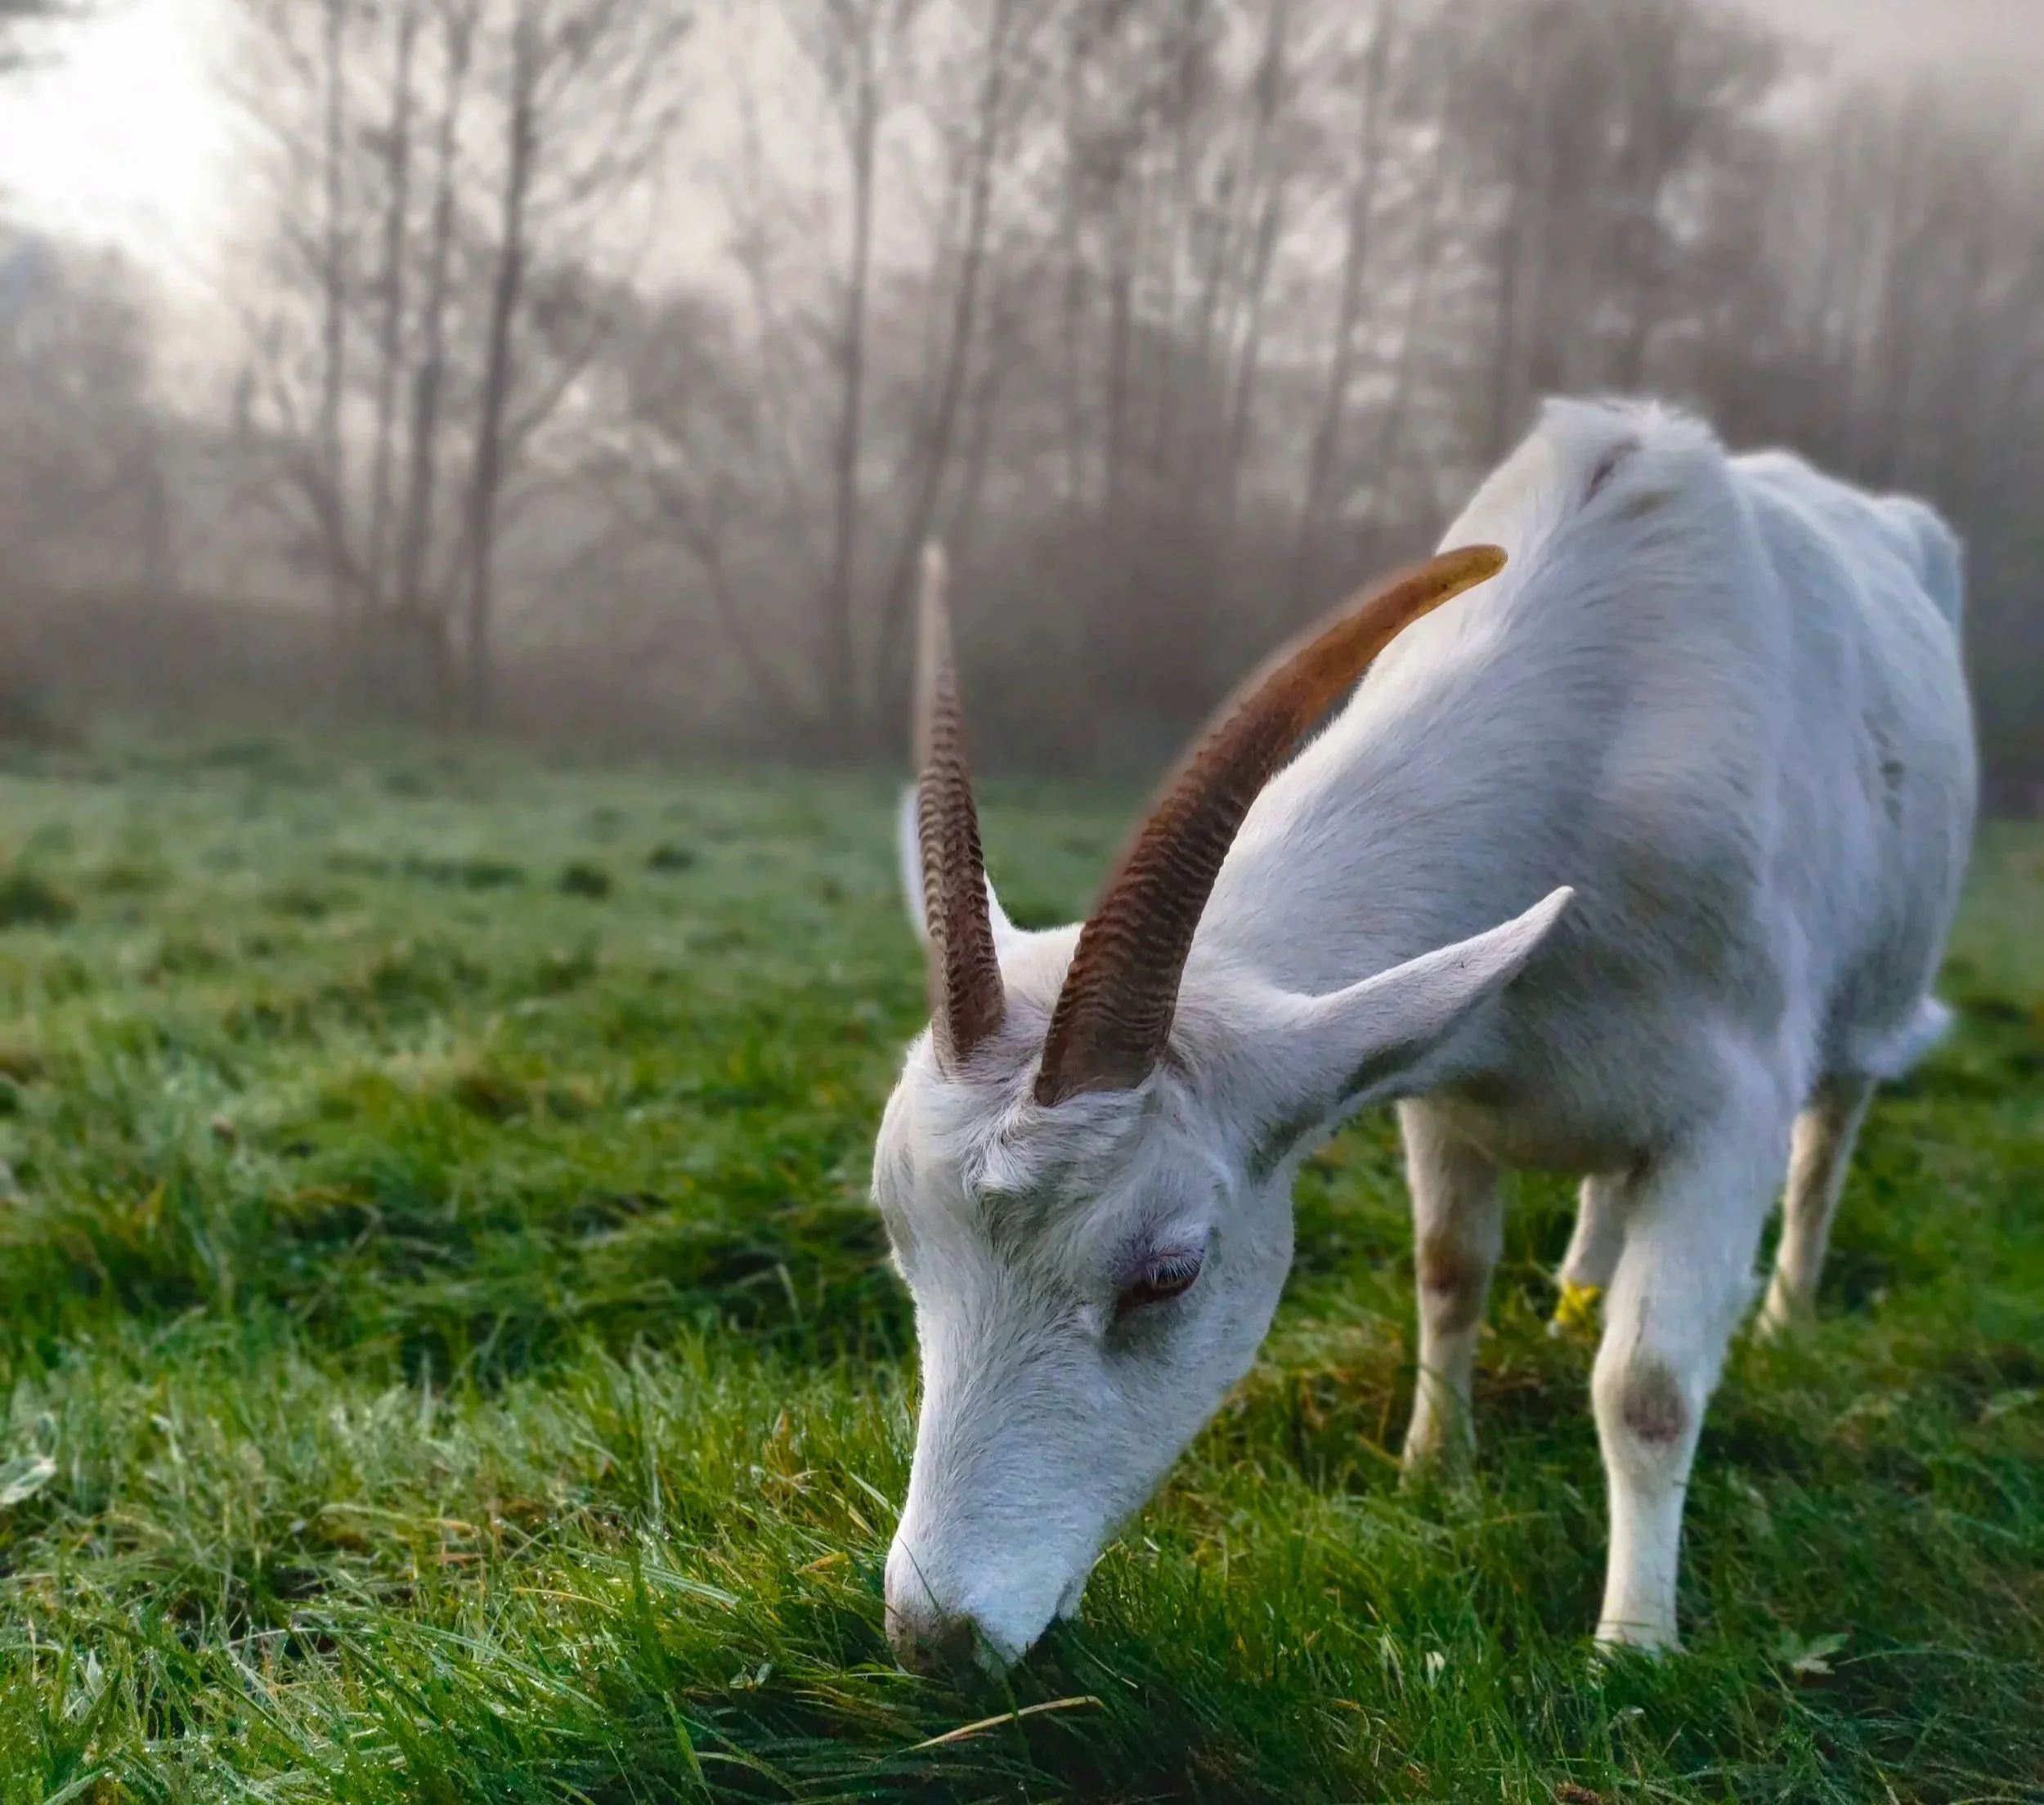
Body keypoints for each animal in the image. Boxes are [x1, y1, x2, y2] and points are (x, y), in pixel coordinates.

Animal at [871, 397, 1977, 1671]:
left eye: (1166, 1274)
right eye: (903, 1239)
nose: (935, 1633)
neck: (1601, 742)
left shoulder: (1725, 1119)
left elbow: (1647, 1387)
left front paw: (1634, 1645)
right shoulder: (1446, 1082)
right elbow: (1449, 1273)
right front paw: (1431, 1471)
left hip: (1869, 1003)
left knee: (1830, 1133)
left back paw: (1789, 1311)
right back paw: (1575, 1294)